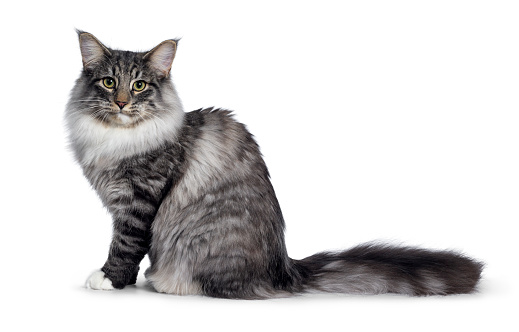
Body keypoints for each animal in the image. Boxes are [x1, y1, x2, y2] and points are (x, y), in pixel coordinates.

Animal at [67, 31, 486, 300]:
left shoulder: (140, 199)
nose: (122, 102)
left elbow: (125, 244)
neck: (117, 137)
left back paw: (165, 282)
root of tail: (285, 269)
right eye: (108, 82)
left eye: (139, 86)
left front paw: (110, 280)